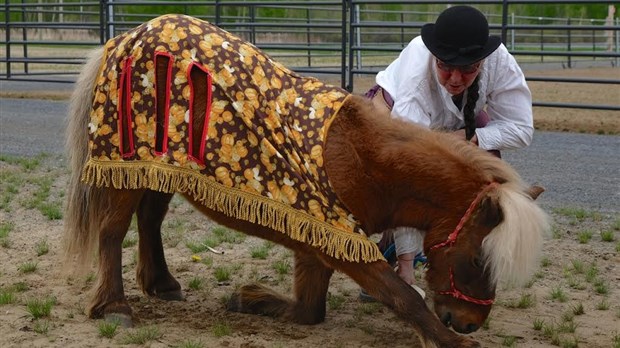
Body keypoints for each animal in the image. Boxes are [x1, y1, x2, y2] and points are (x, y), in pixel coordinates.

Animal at [63, 14, 548, 348]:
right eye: (478, 259)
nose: (467, 320)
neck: (365, 158)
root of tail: (125, 38)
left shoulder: (319, 237)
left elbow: (310, 310)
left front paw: (252, 299)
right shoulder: (342, 241)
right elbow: (400, 294)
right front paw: (451, 341)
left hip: (160, 169)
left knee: (150, 220)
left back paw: (161, 284)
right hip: (125, 167)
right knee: (112, 231)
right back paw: (114, 306)